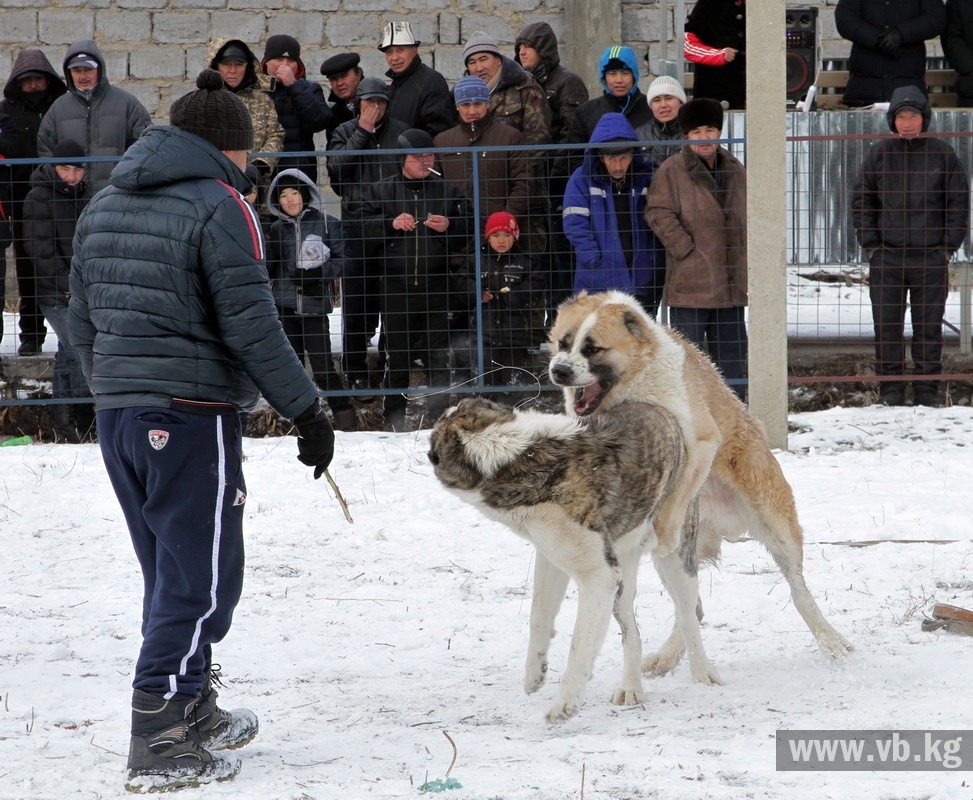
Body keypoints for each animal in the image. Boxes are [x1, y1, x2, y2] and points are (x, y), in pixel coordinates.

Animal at [426, 396, 712, 720]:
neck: (512, 455)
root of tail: (661, 410)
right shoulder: (552, 557)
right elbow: (539, 613)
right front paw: (534, 673)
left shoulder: (598, 576)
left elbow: (580, 643)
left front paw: (566, 703)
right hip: (622, 582)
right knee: (632, 634)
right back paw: (630, 687)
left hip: (675, 556)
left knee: (688, 614)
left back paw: (702, 672)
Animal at [548, 290, 852, 672]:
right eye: (563, 342)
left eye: (592, 349)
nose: (558, 370)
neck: (635, 383)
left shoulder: (702, 442)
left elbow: (677, 495)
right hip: (681, 558)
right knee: (691, 608)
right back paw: (668, 655)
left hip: (776, 526)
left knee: (798, 592)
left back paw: (831, 642)